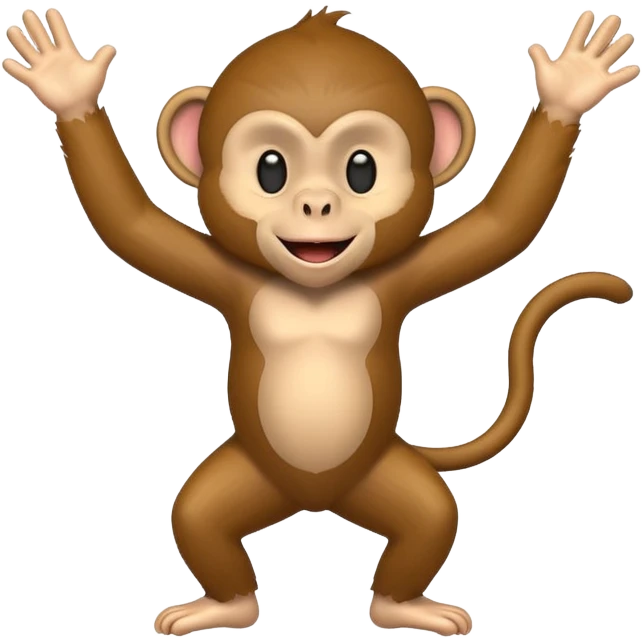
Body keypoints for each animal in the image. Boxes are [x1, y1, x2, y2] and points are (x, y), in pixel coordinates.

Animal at [3, 6, 638, 638]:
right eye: (271, 169)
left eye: (361, 169)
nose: (316, 205)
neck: (317, 287)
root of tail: (315, 501)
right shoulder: (225, 277)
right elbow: (127, 222)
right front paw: (68, 85)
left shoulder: (405, 276)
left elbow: (506, 221)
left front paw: (569, 89)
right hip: (254, 476)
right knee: (197, 516)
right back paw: (228, 606)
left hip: (377, 476)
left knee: (432, 516)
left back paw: (399, 606)